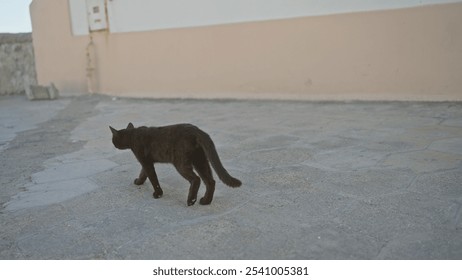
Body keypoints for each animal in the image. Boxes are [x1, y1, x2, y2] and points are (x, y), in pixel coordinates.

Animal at [108, 122, 242, 206]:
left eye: (113, 139)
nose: (113, 144)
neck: (132, 135)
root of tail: (197, 130)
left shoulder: (146, 161)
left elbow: (153, 178)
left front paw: (158, 194)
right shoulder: (146, 162)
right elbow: (143, 173)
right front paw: (139, 182)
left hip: (181, 163)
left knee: (196, 179)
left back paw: (191, 200)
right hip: (200, 161)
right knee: (210, 181)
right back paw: (205, 201)